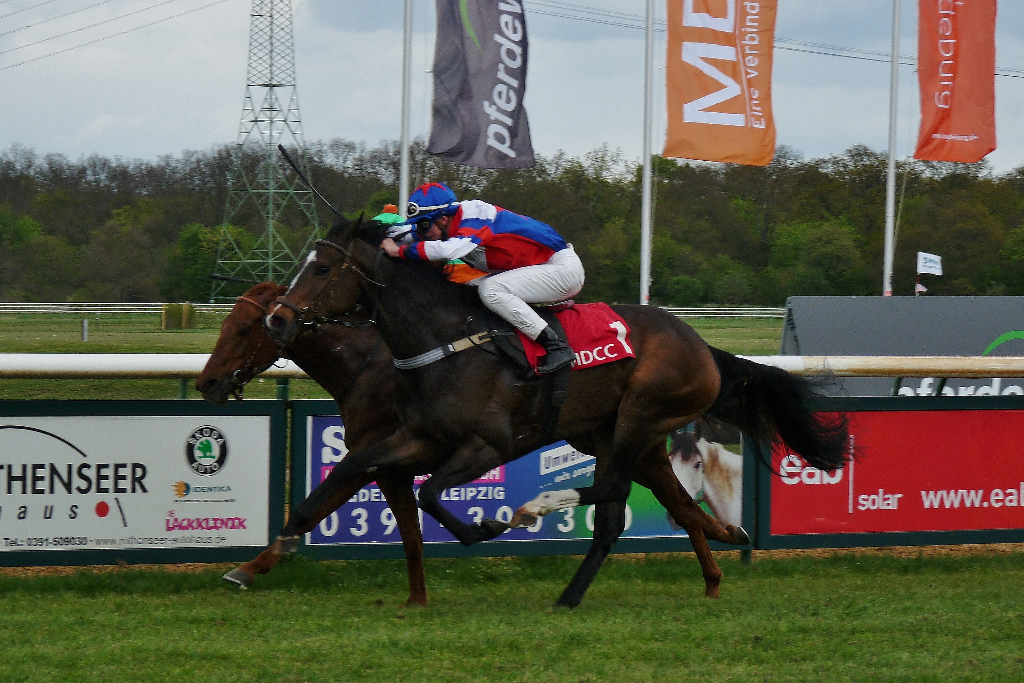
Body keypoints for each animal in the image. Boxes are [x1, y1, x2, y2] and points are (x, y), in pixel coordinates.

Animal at [262, 216, 847, 606]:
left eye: (320, 268)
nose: (276, 319)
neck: (448, 342)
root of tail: (702, 346)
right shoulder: (421, 437)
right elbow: (357, 469)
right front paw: (274, 549)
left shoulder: (488, 444)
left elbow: (428, 493)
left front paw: (483, 530)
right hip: (621, 436)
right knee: (653, 507)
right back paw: (715, 552)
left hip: (639, 417)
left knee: (611, 494)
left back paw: (541, 515)